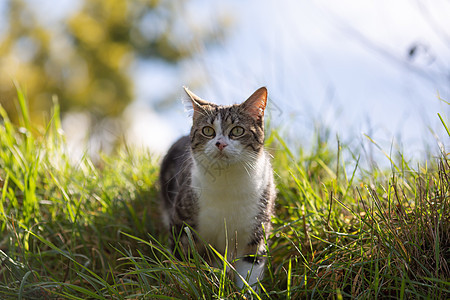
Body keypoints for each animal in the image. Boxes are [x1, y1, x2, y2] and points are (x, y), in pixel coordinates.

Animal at [160, 86, 276, 288]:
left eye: (237, 130)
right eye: (207, 130)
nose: (220, 143)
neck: (227, 182)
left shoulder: (256, 231)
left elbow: (250, 272)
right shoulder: (182, 223)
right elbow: (180, 260)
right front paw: (184, 287)